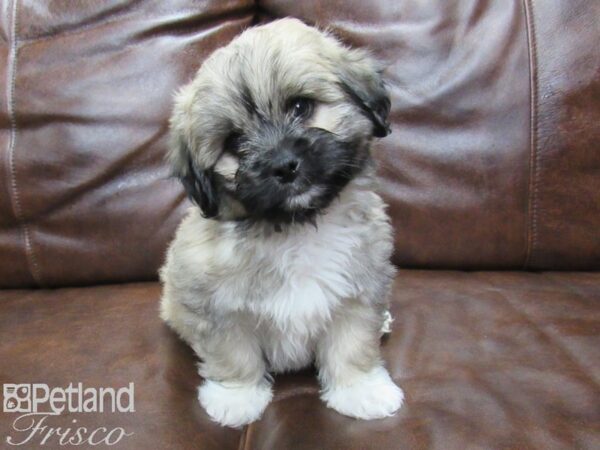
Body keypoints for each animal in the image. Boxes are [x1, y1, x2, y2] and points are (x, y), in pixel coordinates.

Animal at [161, 16, 404, 426]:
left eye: (301, 106)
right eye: (234, 142)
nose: (284, 165)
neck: (294, 227)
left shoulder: (359, 288)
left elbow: (353, 344)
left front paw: (360, 389)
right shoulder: (215, 306)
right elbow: (233, 354)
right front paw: (237, 397)